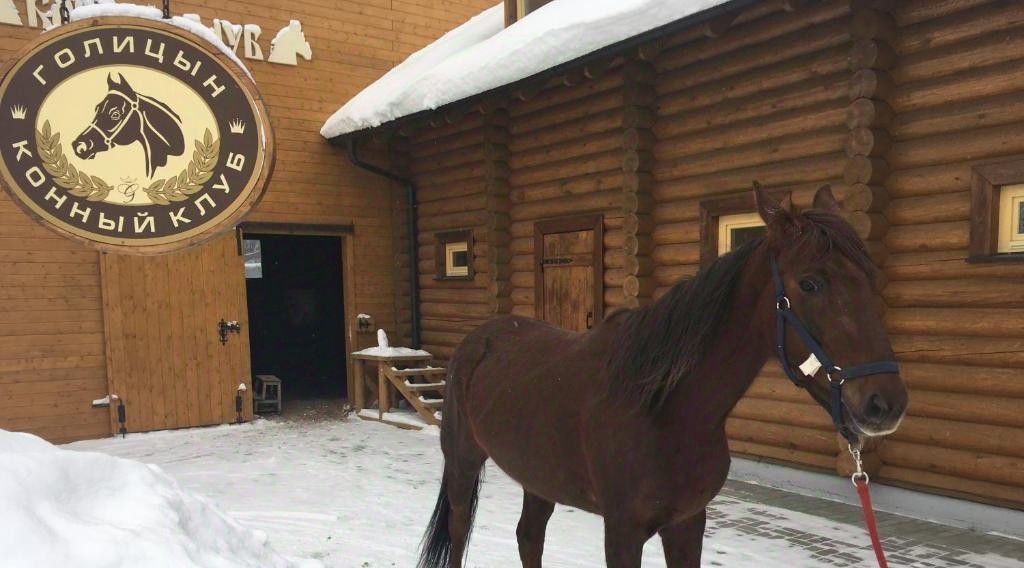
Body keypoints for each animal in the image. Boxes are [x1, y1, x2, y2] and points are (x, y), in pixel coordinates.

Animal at [419, 184, 909, 564]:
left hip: (538, 476)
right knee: (460, 532)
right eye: (810, 283)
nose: (886, 403)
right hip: (462, 463)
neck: (666, 409)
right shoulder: (623, 531)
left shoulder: (688, 524)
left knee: (528, 536)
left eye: (870, 277)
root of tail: (475, 342)